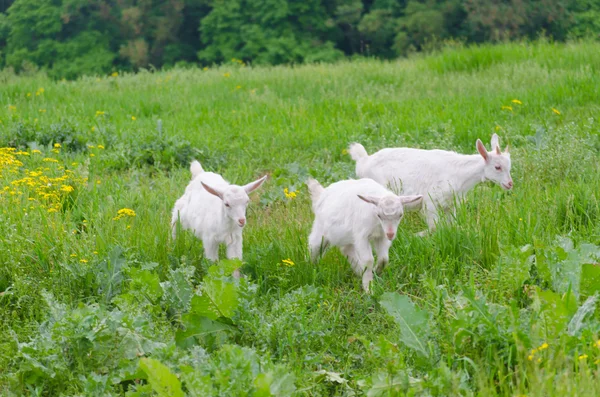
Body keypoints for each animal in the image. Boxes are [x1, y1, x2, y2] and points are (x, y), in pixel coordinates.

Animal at [350, 133, 512, 232]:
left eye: (509, 166)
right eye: (497, 167)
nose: (510, 184)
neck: (459, 173)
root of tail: (363, 161)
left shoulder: (450, 205)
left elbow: (451, 226)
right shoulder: (430, 202)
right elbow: (434, 227)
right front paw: (418, 236)